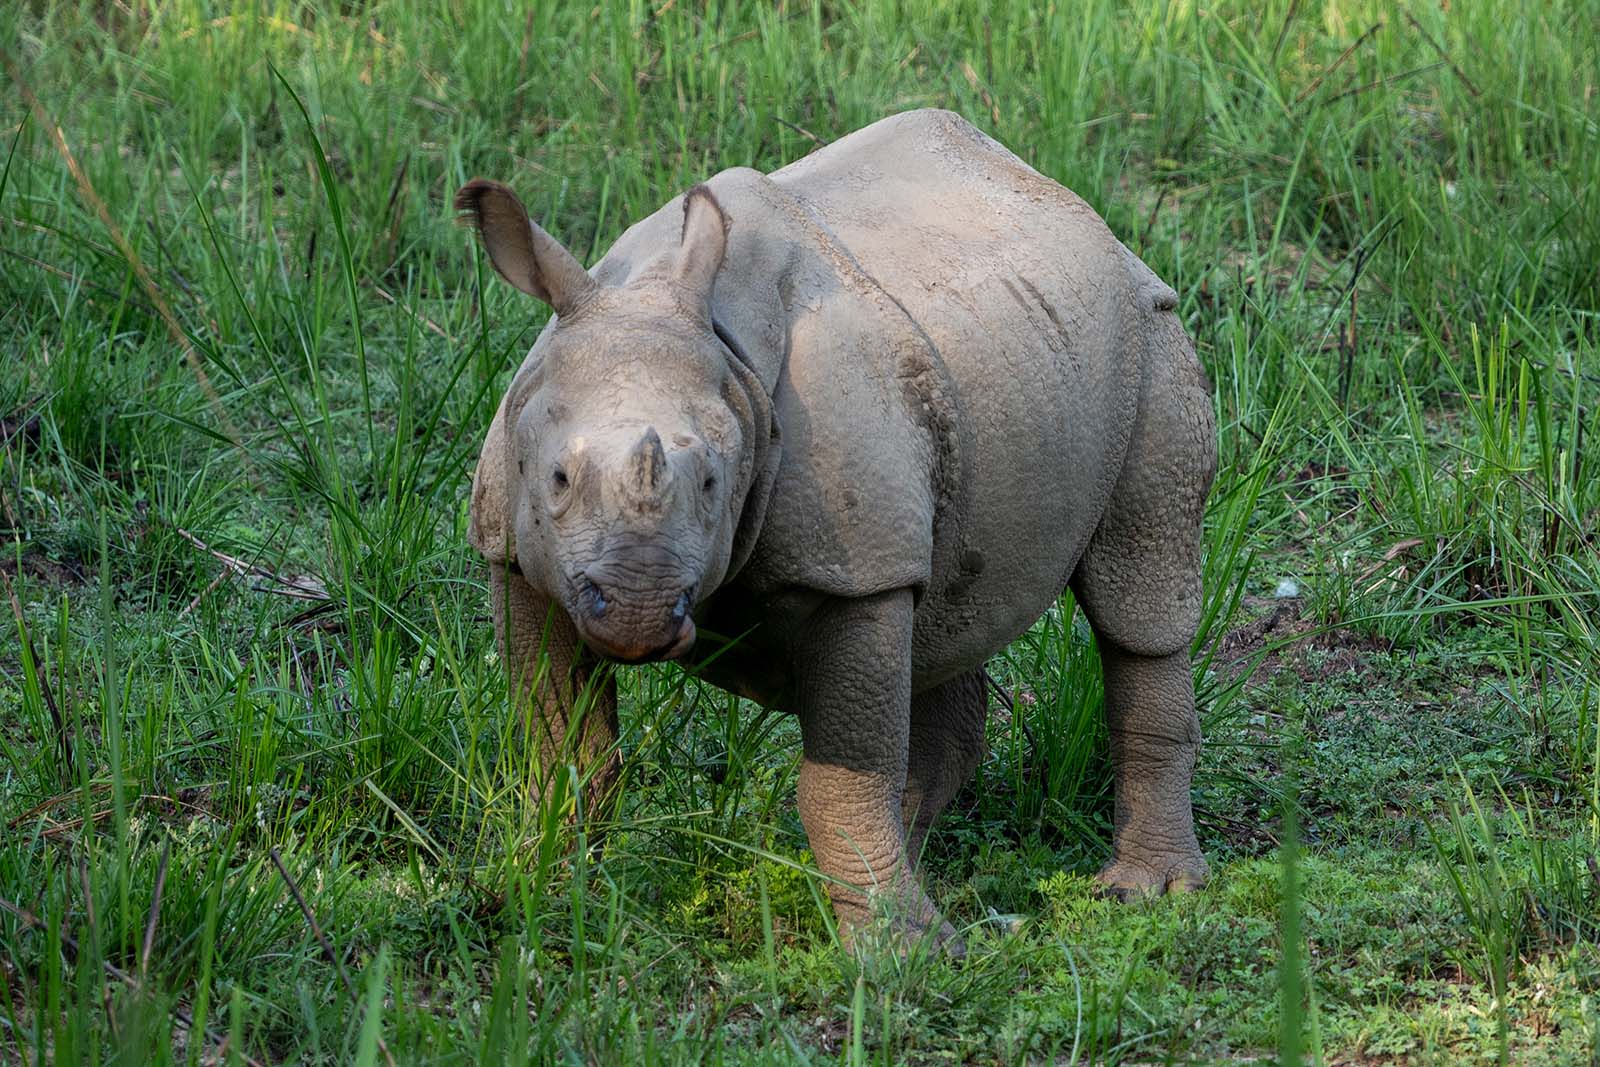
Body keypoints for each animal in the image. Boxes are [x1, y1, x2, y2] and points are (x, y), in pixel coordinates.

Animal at [457, 109, 1216, 950]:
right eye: (558, 480)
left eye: (714, 483)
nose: (636, 613)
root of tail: (1074, 204)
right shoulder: (515, 551)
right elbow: (564, 747)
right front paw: (540, 897)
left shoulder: (859, 568)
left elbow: (842, 776)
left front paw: (901, 952)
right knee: (945, 613)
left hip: (1151, 335)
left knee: (1137, 600)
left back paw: (1146, 894)